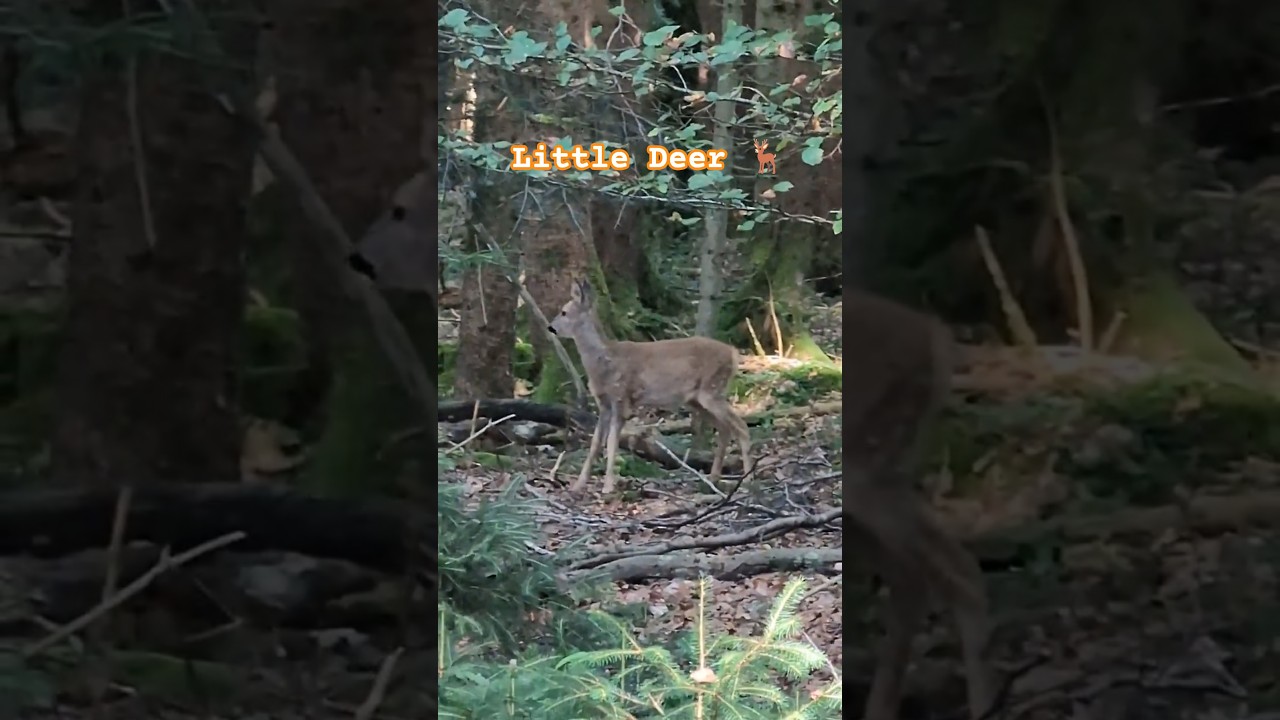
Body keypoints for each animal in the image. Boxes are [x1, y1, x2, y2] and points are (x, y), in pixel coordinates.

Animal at [548, 278, 752, 495]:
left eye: (564, 312)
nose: (550, 327)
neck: (605, 361)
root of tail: (733, 353)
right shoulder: (603, 403)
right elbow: (595, 443)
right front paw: (578, 484)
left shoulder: (621, 397)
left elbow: (611, 442)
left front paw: (608, 486)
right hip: (697, 399)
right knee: (725, 428)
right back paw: (713, 478)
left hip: (711, 389)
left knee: (740, 425)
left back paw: (748, 479)